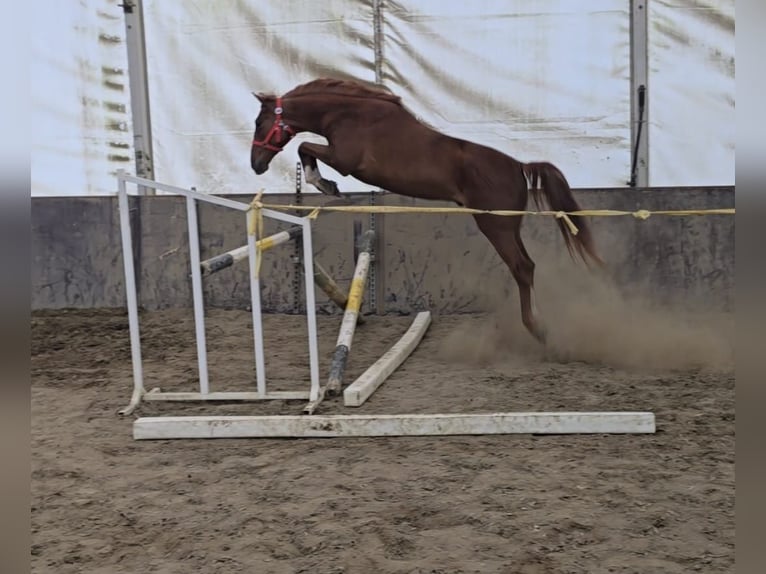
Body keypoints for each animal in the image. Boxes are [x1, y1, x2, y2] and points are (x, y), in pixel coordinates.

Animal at [249, 78, 603, 345]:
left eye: (258, 122)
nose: (255, 165)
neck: (349, 115)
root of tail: (519, 167)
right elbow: (304, 148)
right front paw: (325, 185)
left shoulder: (344, 159)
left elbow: (304, 147)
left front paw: (326, 185)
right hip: (508, 226)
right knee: (527, 266)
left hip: (494, 225)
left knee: (522, 268)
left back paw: (536, 328)